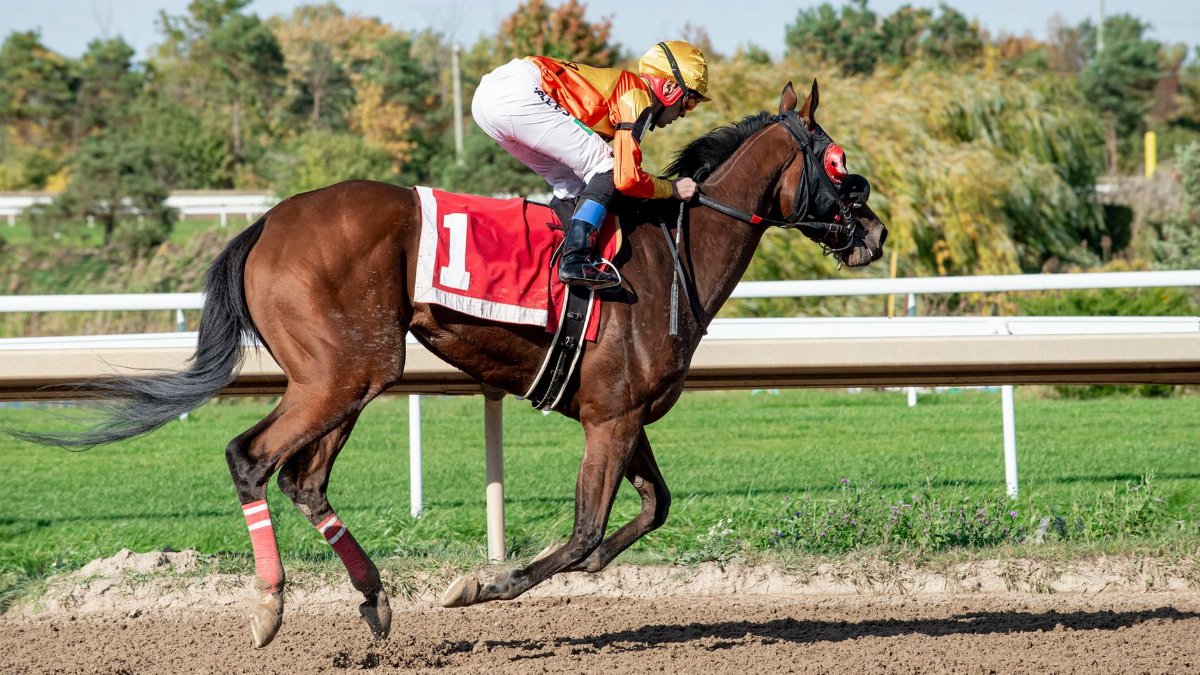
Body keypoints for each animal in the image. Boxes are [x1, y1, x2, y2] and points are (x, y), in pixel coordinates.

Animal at [15, 81, 886, 647]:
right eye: (838, 162)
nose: (874, 232)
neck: (673, 254)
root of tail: (264, 223)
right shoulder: (610, 418)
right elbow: (583, 530)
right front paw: (480, 585)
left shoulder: (624, 413)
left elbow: (650, 509)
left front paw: (589, 567)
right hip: (344, 372)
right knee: (250, 457)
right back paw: (269, 608)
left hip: (349, 376)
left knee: (303, 477)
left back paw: (373, 599)